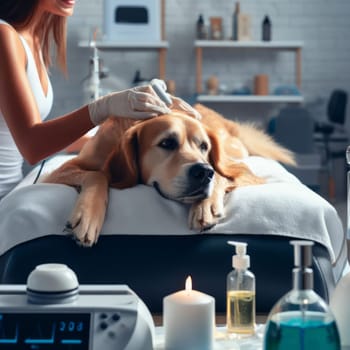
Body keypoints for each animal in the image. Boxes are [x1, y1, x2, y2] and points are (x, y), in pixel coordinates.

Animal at [44, 104, 296, 246]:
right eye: (167, 143)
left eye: (204, 147)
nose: (203, 172)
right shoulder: (60, 171)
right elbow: (98, 175)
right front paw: (87, 217)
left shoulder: (243, 171)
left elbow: (222, 174)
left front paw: (205, 206)